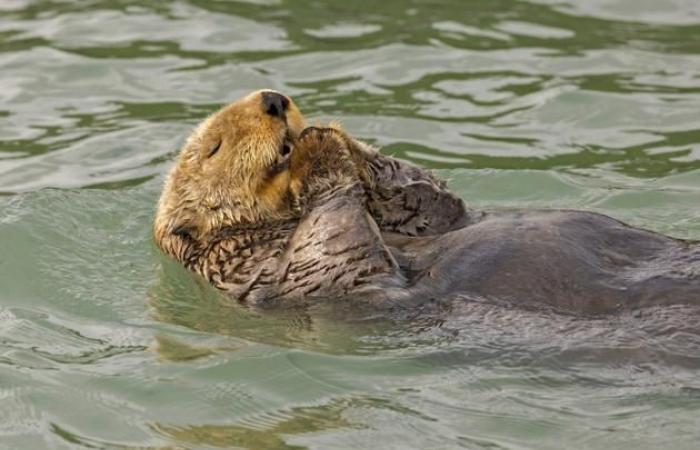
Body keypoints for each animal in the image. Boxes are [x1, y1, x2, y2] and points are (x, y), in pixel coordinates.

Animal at [154, 88, 700, 312]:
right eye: (214, 147)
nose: (274, 100)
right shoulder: (258, 269)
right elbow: (334, 253)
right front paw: (318, 151)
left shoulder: (432, 217)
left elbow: (431, 199)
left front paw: (328, 133)